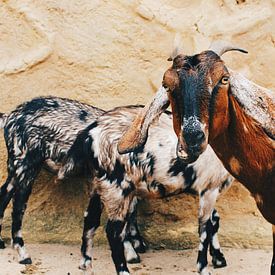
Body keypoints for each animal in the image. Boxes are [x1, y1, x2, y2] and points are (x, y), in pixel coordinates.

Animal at [0, 97, 149, 268]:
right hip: (25, 164)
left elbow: (132, 211)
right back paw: (23, 254)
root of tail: (10, 117)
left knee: (4, 193)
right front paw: (131, 253)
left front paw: (137, 244)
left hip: (16, 167)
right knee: (18, 205)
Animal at [59, 103, 234, 275]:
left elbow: (214, 221)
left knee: (90, 220)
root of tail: (89, 133)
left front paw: (218, 258)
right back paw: (123, 270)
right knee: (113, 231)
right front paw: (204, 267)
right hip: (116, 187)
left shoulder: (211, 189)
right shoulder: (209, 187)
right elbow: (205, 228)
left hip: (99, 185)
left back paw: (85, 264)